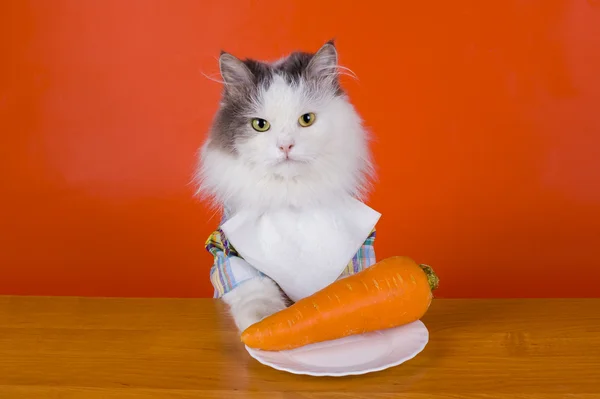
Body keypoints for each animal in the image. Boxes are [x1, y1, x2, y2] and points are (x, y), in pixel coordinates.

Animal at [197, 42, 376, 332]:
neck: (290, 198)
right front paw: (264, 322)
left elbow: (349, 289)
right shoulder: (225, 249)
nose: (285, 146)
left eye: (306, 119)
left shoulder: (359, 249)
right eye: (260, 125)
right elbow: (255, 292)